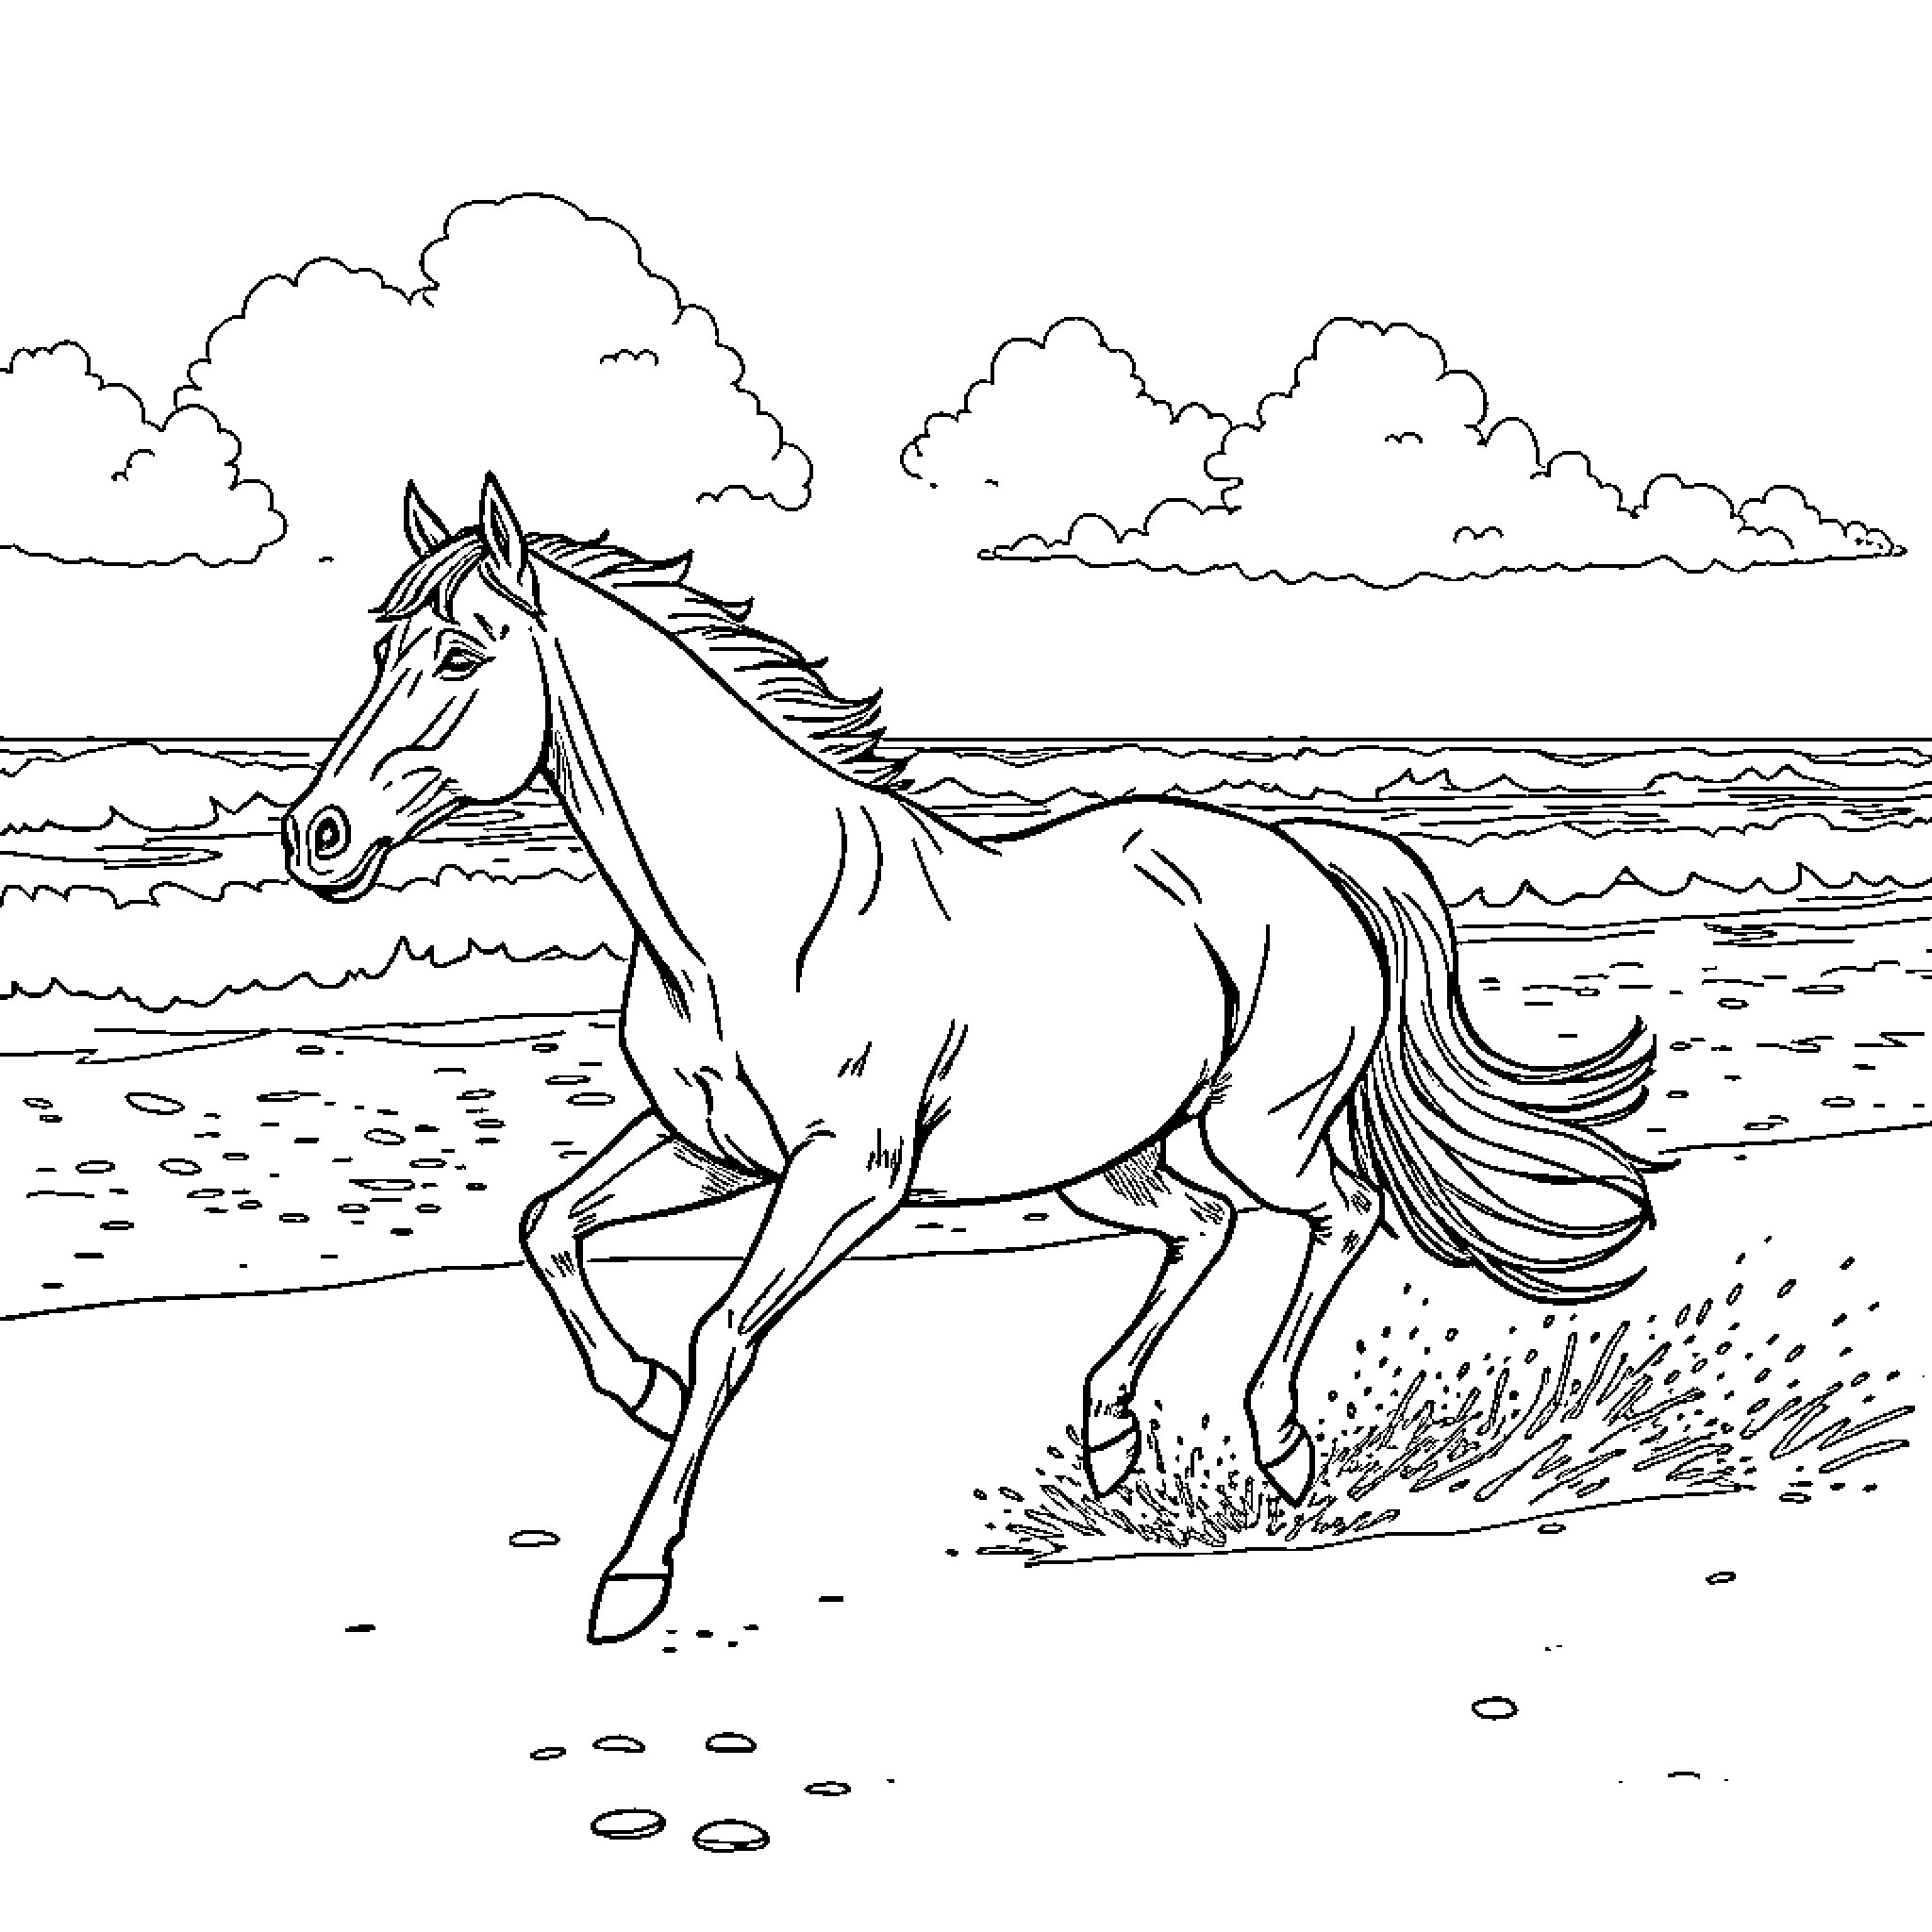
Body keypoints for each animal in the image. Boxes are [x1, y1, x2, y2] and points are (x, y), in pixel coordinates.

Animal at [284, 474, 1664, 1643]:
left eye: (460, 654)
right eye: (380, 651)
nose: (316, 835)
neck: (754, 913)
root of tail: (1317, 855)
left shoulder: (847, 1175)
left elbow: (722, 1328)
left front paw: (634, 1574)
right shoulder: (708, 1148)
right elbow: (546, 1224)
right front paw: (642, 1391)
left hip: (1255, 1130)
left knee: (1339, 1213)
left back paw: (1276, 1440)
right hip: (1110, 1159)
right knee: (1198, 1230)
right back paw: (1109, 1434)